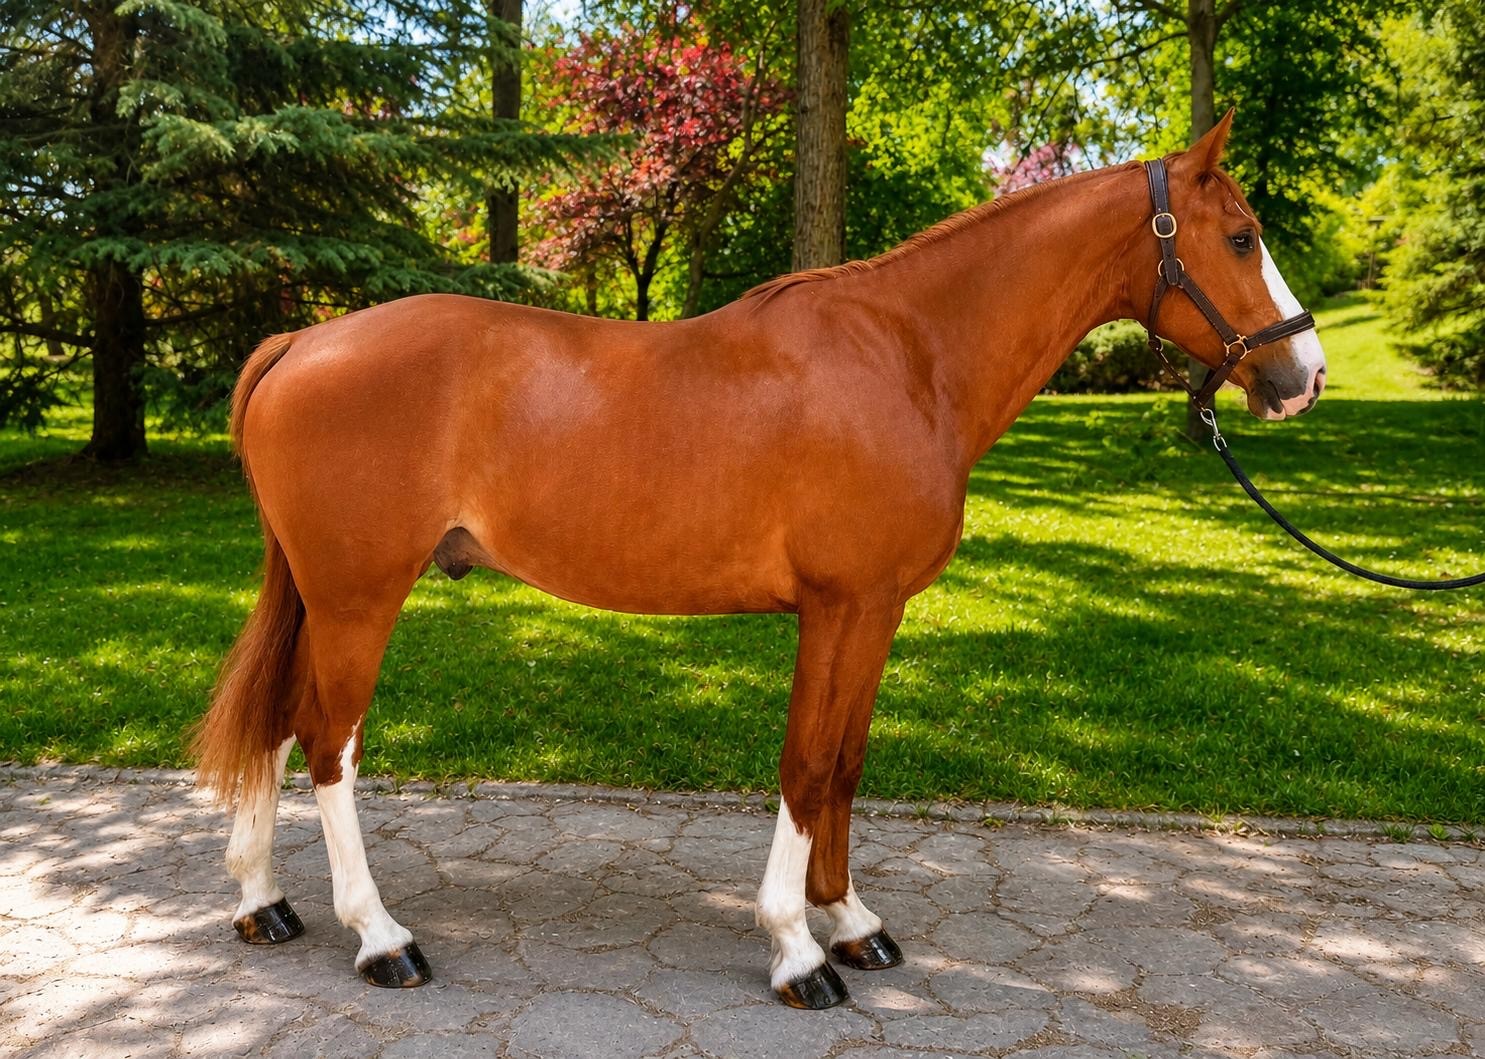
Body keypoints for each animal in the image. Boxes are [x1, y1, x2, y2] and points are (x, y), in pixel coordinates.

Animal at [194, 111, 1326, 1008]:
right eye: (1240, 236)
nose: (1304, 374)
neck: (909, 356)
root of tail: (303, 342)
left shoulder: (877, 611)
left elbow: (848, 765)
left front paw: (853, 924)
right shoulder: (836, 605)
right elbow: (807, 764)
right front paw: (796, 950)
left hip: (322, 596)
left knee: (281, 726)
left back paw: (265, 903)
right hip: (359, 597)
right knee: (328, 744)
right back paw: (381, 938)